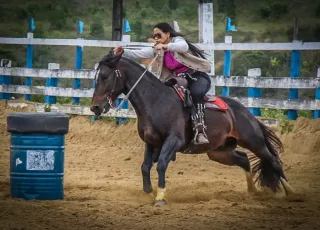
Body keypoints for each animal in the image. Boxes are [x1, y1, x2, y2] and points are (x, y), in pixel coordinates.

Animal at [90, 50, 296, 207]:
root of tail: (245, 111)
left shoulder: (174, 140)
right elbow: (145, 166)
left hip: (253, 140)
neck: (156, 100)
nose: (95, 108)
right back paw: (252, 192)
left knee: (273, 161)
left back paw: (292, 193)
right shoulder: (151, 143)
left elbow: (161, 164)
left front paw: (160, 197)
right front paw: (148, 191)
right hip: (219, 151)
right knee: (244, 159)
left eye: (105, 76)